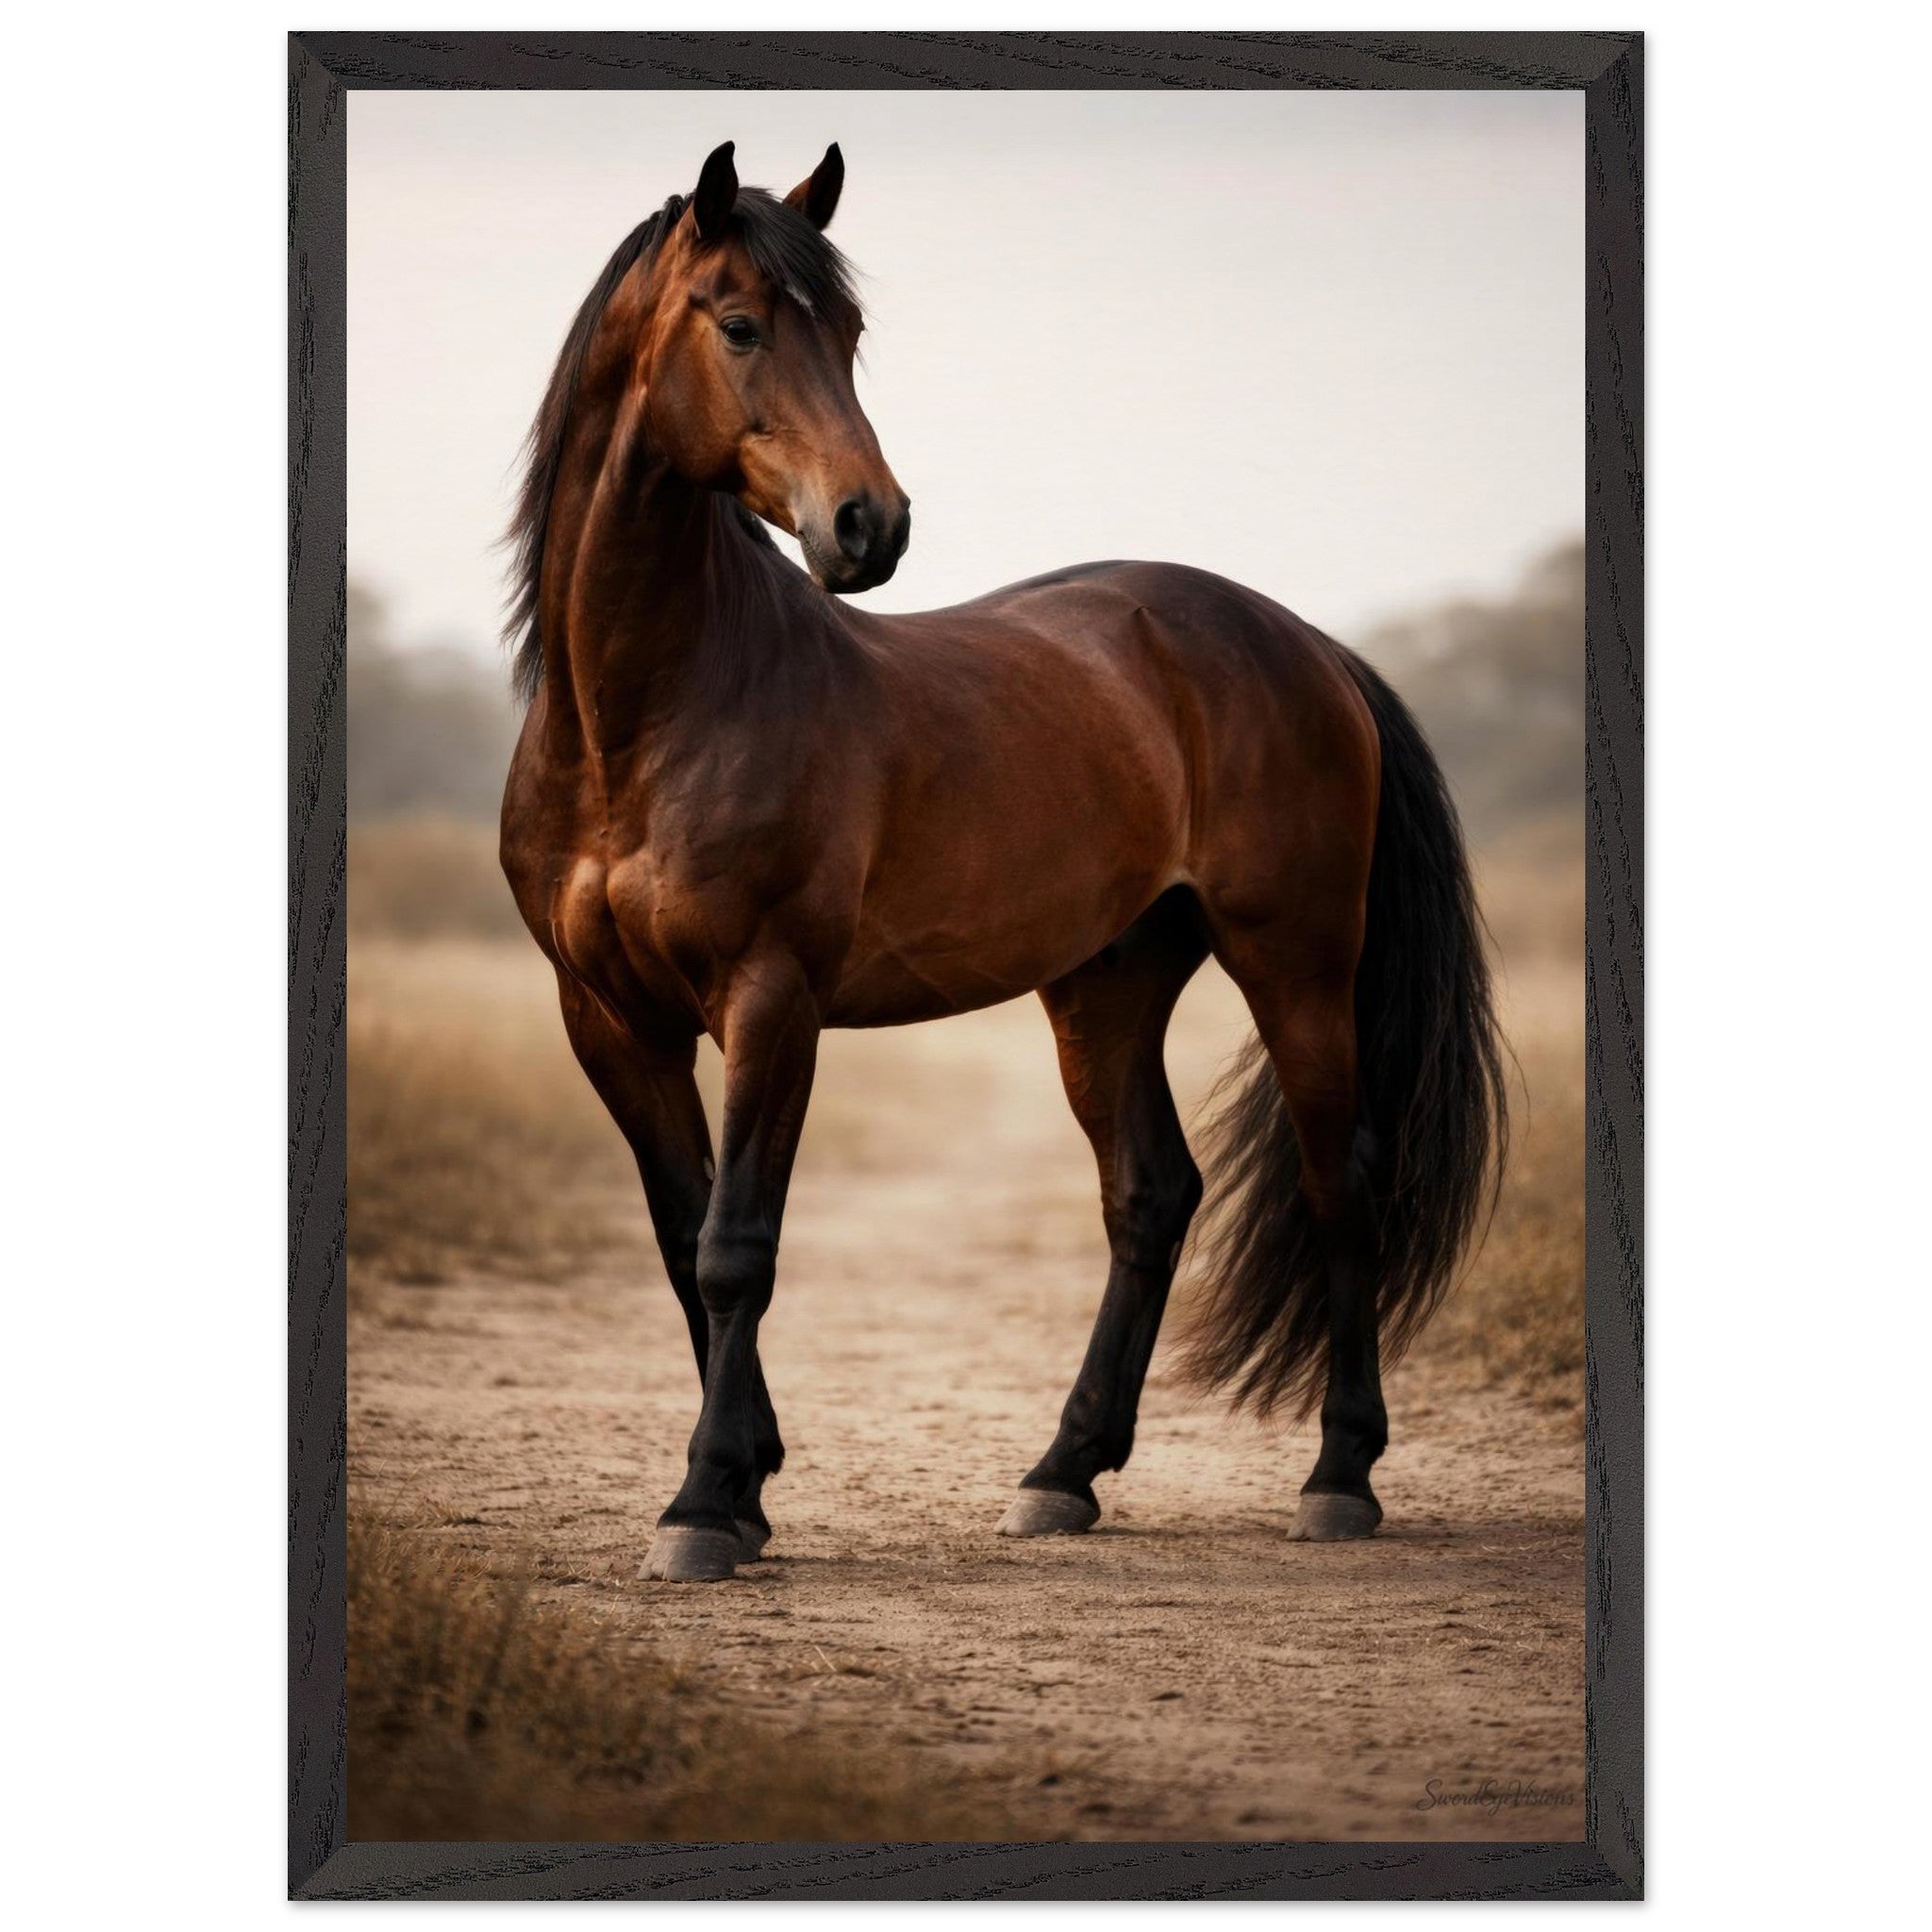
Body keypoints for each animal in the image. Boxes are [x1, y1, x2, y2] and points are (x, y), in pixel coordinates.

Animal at [499, 141, 1506, 1582]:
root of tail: (1305, 641)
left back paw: (1338, 1476)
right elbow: (682, 1239)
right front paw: (742, 1488)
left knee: (1340, 1180)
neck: (644, 718)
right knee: (1151, 1195)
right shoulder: (608, 1021)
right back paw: (1061, 1472)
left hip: (1295, 964)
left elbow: (738, 1245)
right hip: (1107, 981)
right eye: (739, 325)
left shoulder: (769, 1000)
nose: (870, 527)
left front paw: (700, 1505)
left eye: (850, 332)